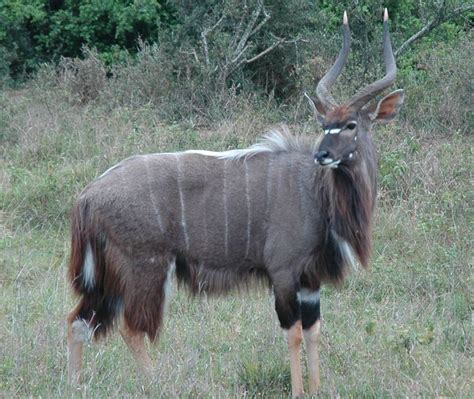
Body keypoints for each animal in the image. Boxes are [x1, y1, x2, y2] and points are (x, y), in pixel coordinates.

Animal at [67, 8, 404, 396]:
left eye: (350, 125)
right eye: (324, 124)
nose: (322, 155)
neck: (316, 193)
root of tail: (88, 195)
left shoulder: (310, 279)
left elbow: (314, 330)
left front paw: (317, 388)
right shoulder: (283, 273)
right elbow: (293, 333)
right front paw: (298, 390)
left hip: (108, 276)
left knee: (78, 321)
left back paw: (74, 385)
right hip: (144, 268)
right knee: (131, 327)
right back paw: (156, 385)